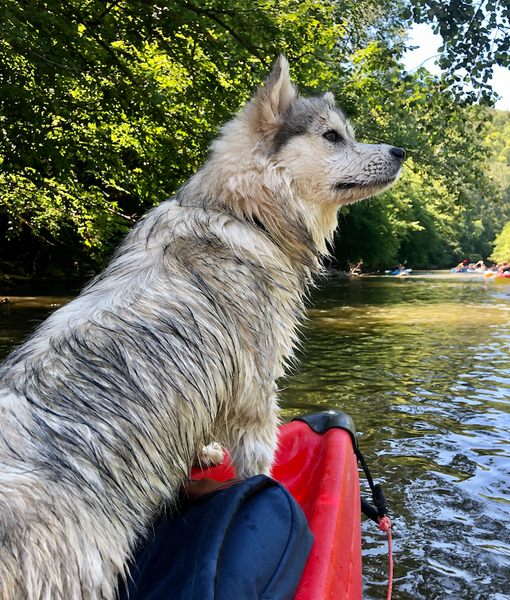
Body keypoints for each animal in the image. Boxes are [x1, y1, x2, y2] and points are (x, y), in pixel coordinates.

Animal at [0, 57, 404, 600]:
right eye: (332, 136)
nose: (401, 152)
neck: (243, 212)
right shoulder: (257, 390)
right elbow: (261, 463)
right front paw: (272, 485)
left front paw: (206, 454)